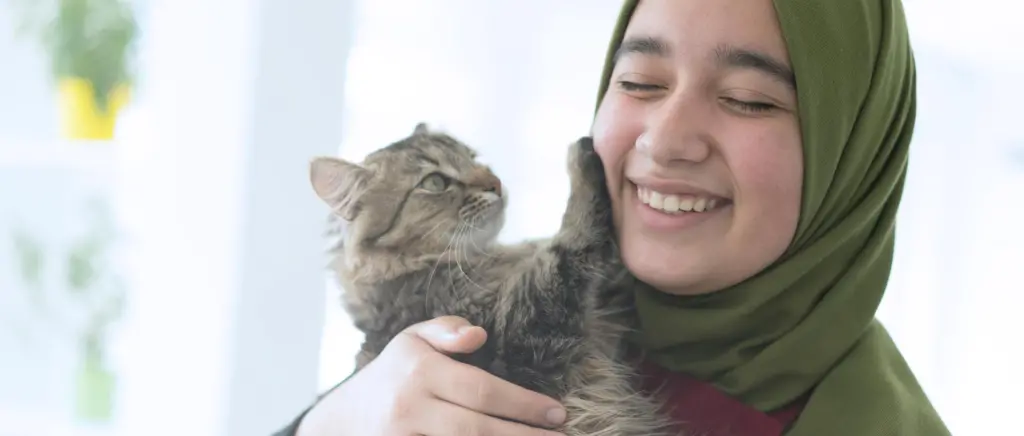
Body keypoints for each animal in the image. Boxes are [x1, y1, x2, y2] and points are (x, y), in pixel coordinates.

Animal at [307, 123, 675, 436]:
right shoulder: (525, 344)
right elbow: (569, 245)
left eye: (473, 158)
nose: (495, 183)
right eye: (435, 182)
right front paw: (582, 160)